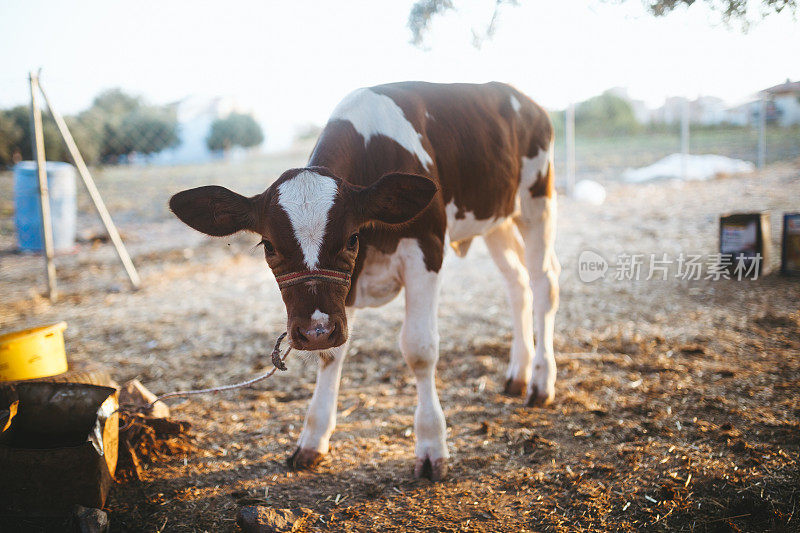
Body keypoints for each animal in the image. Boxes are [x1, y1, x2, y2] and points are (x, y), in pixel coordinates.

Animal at [170, 81, 556, 480]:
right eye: (269, 246)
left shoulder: (427, 250)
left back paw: (541, 382)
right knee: (517, 285)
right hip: (497, 218)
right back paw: (518, 374)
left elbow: (419, 349)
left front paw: (431, 445)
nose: (314, 332)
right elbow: (332, 355)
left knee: (543, 283)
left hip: (536, 201)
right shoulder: (342, 294)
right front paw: (313, 439)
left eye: (352, 238)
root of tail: (521, 97)